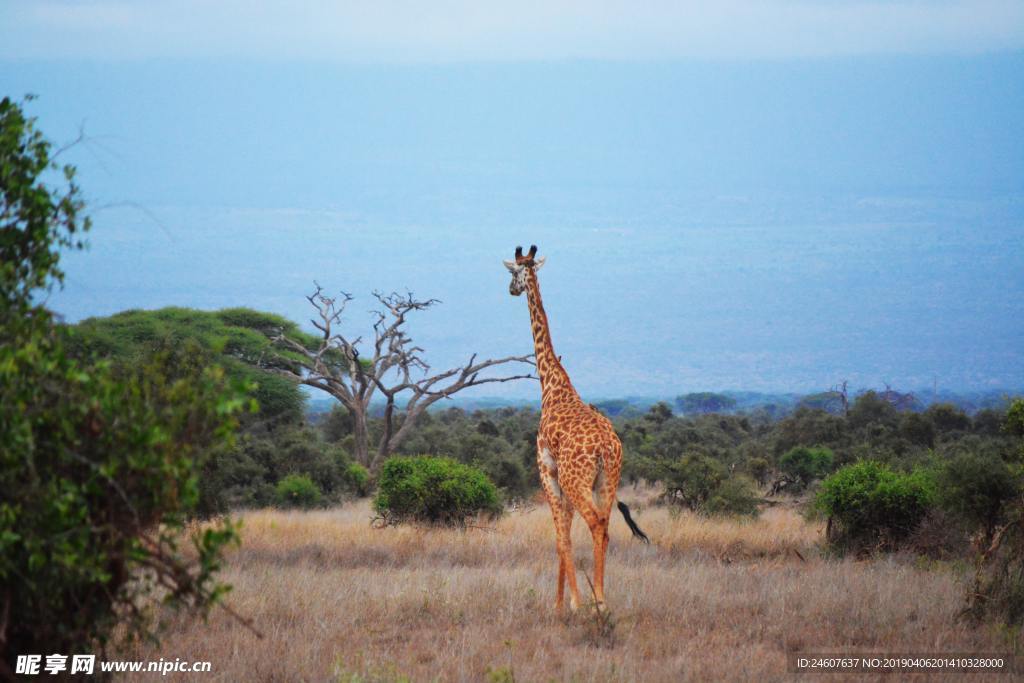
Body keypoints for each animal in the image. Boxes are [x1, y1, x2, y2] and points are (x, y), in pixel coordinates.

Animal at [503, 242, 647, 610]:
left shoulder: (548, 470)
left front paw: (568, 604)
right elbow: (565, 534)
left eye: (513, 271)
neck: (553, 385)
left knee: (595, 523)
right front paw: (562, 601)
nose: (511, 289)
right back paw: (601, 598)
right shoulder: (563, 478)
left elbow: (560, 537)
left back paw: (597, 602)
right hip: (607, 480)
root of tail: (605, 448)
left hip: (578, 479)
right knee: (606, 527)